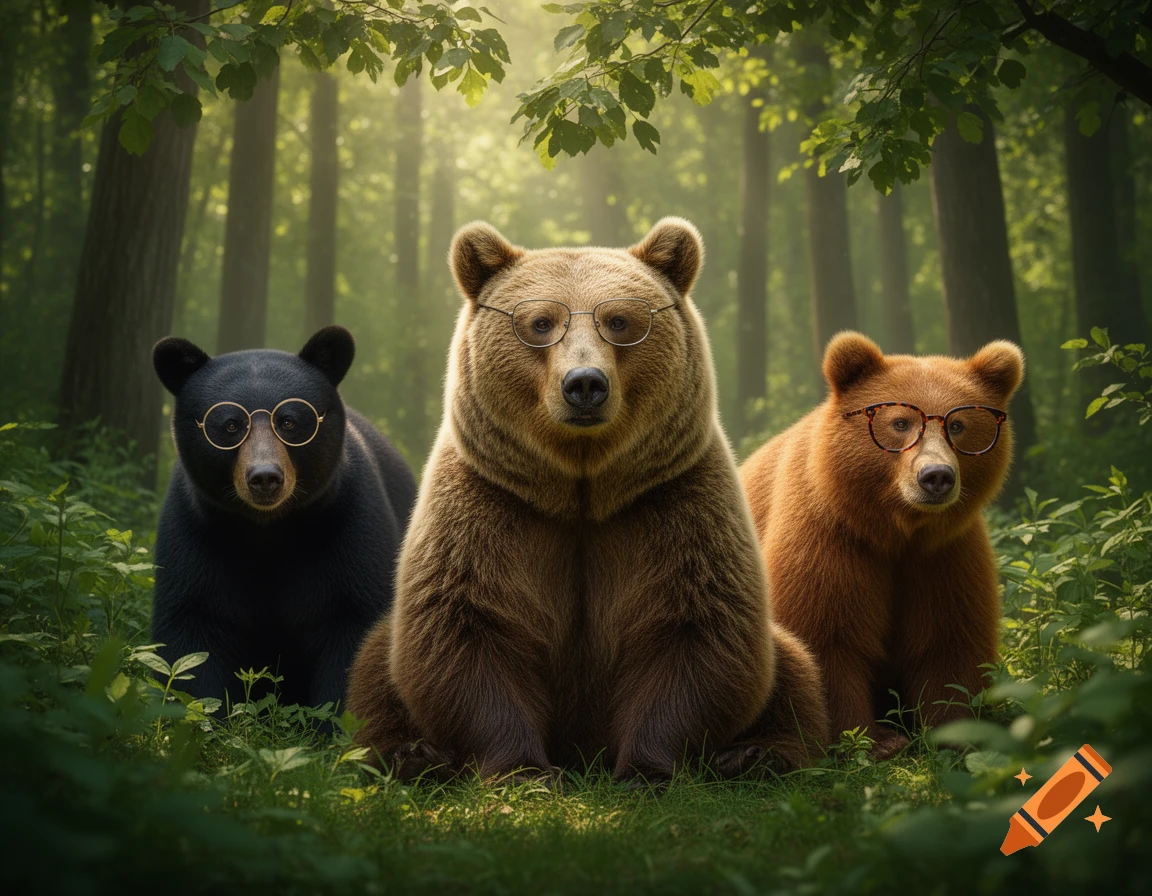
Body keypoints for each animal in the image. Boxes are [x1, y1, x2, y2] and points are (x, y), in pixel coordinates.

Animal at [150, 326, 417, 713]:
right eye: (230, 425)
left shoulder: (351, 526)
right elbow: (190, 632)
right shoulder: (194, 531)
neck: (268, 531)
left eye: (290, 421)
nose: (265, 477)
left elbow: (356, 624)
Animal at [346, 218, 829, 782]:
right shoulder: (488, 505)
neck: (581, 489)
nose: (584, 384)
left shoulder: (675, 503)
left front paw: (646, 769)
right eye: (539, 322)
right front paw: (523, 770)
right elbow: (463, 626)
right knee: (374, 670)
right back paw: (412, 755)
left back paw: (755, 755)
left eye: (619, 321)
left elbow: (700, 629)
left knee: (794, 671)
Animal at [740, 331, 1025, 758]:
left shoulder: (944, 555)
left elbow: (948, 640)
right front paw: (875, 741)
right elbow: (826, 635)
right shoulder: (829, 538)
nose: (936, 476)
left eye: (958, 424)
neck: (896, 531)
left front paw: (952, 733)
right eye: (900, 423)